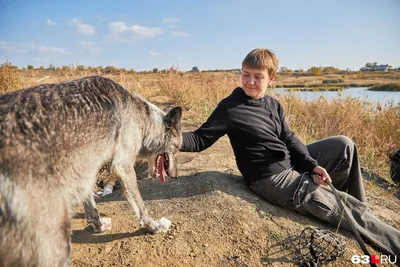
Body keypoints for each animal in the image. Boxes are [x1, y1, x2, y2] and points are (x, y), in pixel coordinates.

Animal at [0, 76, 182, 267]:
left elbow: (91, 207)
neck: (142, 116)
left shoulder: (85, 172)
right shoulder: (123, 166)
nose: (176, 175)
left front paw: (99, 225)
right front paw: (155, 226)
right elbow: (141, 207)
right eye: (178, 149)